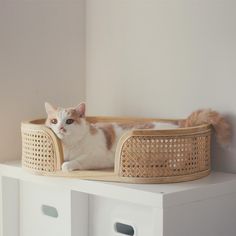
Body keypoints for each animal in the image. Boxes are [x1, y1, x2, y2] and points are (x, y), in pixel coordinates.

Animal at [44, 103, 230, 171]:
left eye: (69, 121)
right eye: (53, 121)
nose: (60, 127)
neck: (70, 145)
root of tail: (182, 124)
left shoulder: (98, 156)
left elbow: (78, 160)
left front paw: (67, 165)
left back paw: (173, 164)